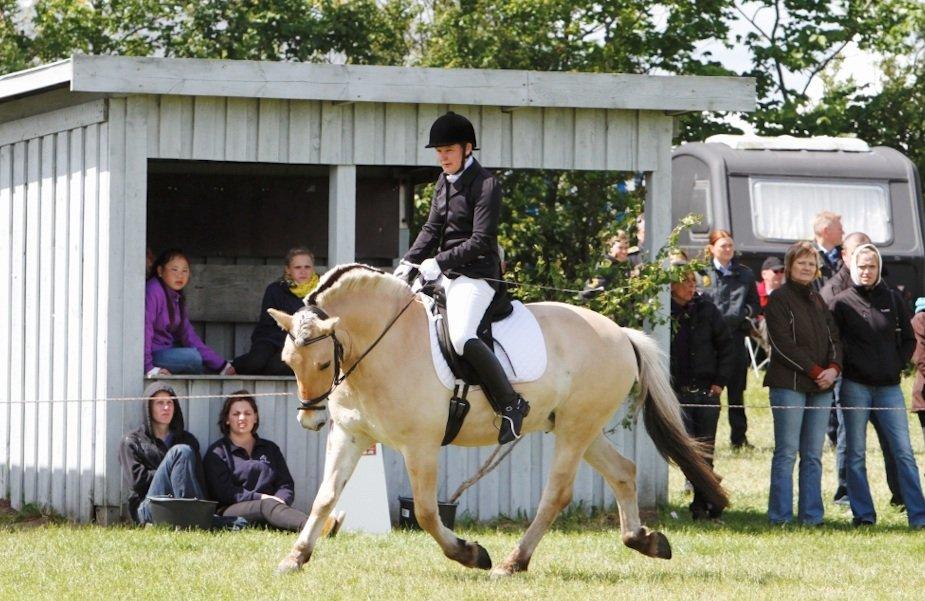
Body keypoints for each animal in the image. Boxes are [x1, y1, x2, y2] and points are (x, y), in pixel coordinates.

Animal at [268, 262, 728, 576]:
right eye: (287, 361)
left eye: (323, 362)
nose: (309, 421)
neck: (384, 343)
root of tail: (621, 334)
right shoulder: (351, 434)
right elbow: (325, 498)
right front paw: (295, 557)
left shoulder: (421, 446)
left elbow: (426, 512)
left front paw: (471, 554)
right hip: (582, 427)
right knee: (623, 472)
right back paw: (645, 540)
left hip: (575, 429)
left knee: (557, 494)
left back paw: (513, 561)